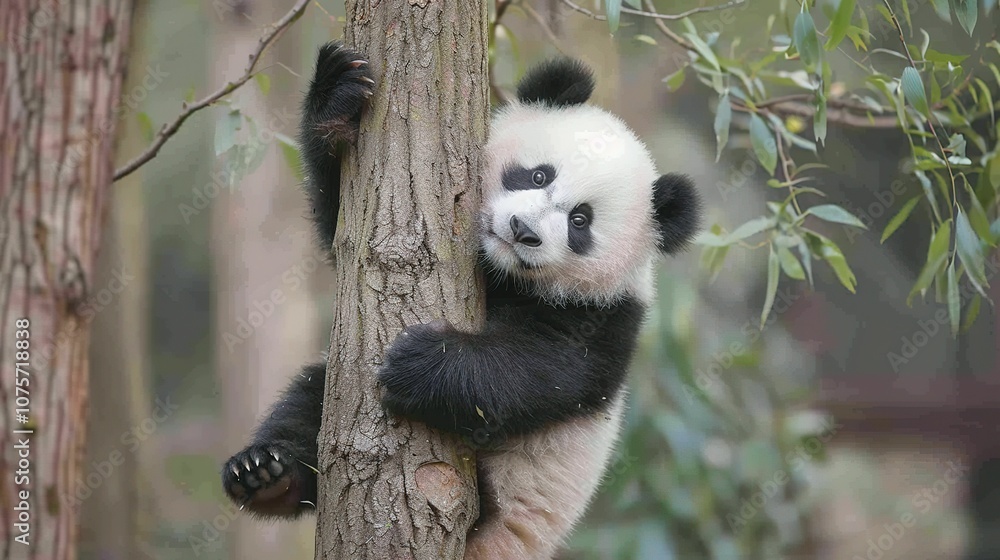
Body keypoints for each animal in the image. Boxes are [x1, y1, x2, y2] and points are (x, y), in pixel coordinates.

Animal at [221, 41, 700, 560]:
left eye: (580, 221)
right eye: (537, 175)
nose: (523, 231)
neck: (502, 271)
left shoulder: (602, 315)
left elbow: (540, 372)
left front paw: (420, 362)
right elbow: (342, 227)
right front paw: (339, 92)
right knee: (311, 394)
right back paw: (266, 475)